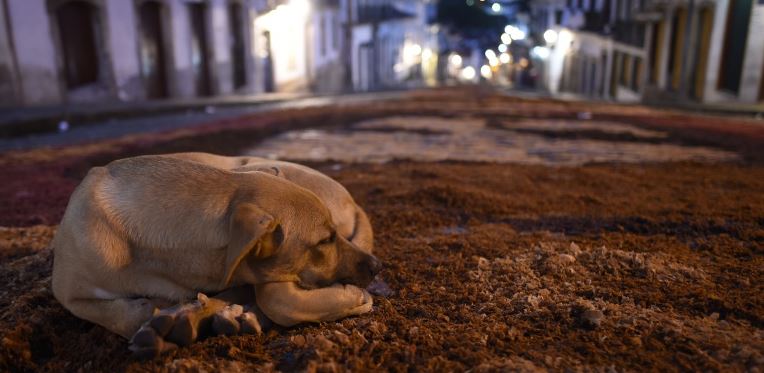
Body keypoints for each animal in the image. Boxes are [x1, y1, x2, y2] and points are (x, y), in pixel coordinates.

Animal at [50, 152, 382, 358]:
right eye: (325, 240)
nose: (377, 266)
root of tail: (353, 201)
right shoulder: (68, 294)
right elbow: (120, 314)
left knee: (271, 297)